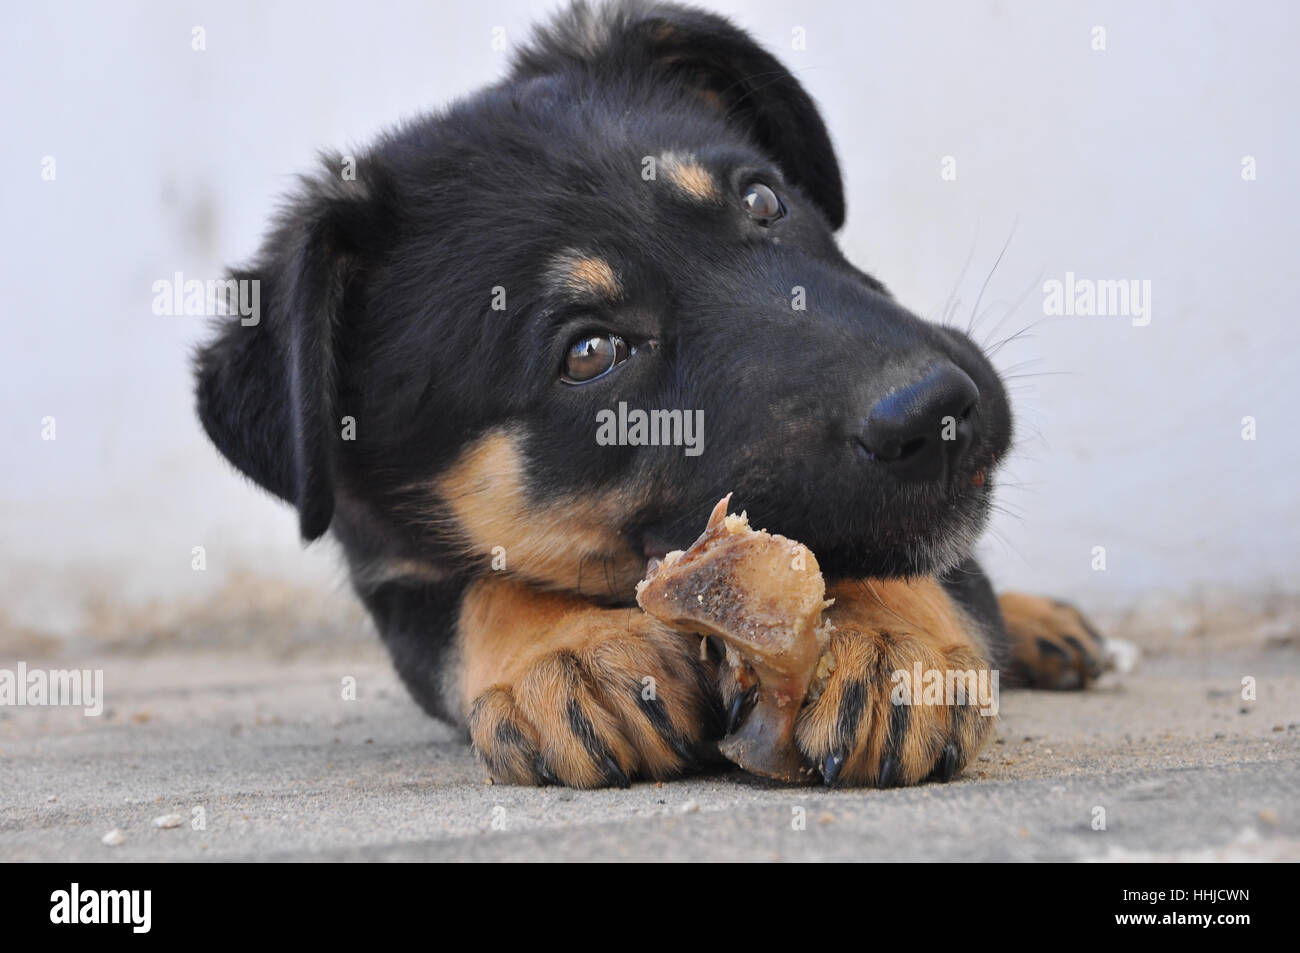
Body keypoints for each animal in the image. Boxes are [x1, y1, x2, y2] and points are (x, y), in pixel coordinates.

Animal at [195, 0, 1107, 790]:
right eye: (589, 353)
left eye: (764, 199)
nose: (937, 410)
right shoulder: (392, 574)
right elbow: (479, 594)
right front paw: (567, 652)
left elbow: (906, 551)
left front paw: (886, 636)